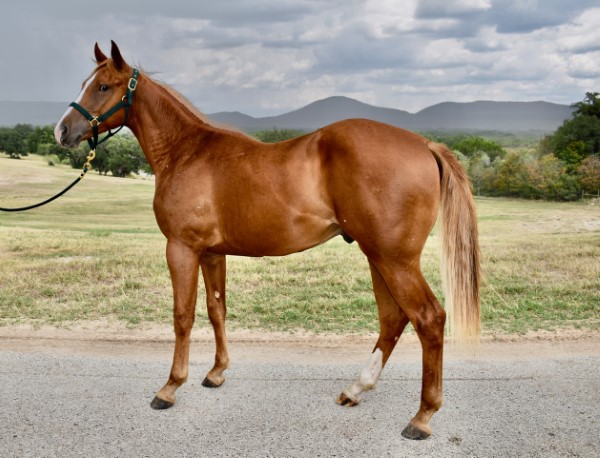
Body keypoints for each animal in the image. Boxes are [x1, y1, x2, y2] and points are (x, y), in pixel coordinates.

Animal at [54, 42, 480, 440]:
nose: (62, 130)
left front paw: (170, 387)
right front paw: (216, 372)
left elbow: (183, 316)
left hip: (394, 260)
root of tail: (424, 144)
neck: (186, 153)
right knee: (393, 319)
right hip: (379, 257)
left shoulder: (181, 249)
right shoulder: (212, 253)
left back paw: (422, 417)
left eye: (103, 86)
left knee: (428, 319)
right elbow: (216, 309)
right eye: (85, 83)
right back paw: (356, 389)